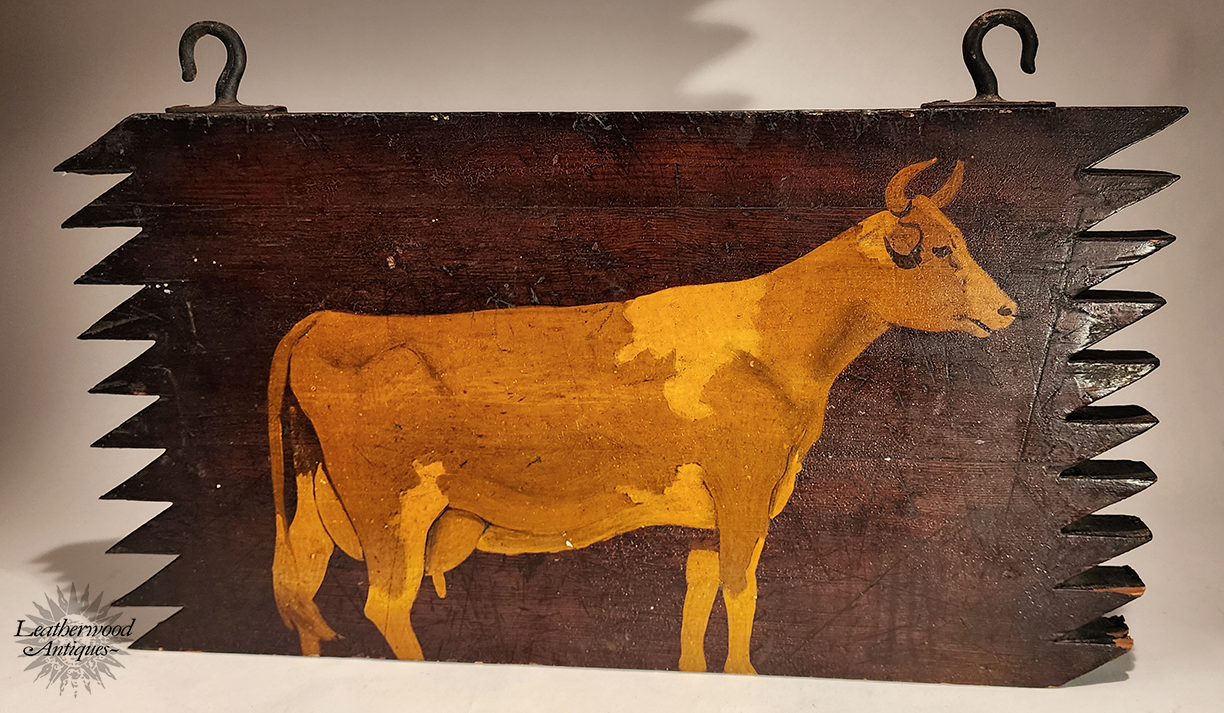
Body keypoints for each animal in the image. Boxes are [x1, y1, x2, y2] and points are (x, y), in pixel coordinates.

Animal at [267, 158, 1016, 674]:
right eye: (943, 250)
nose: (1010, 309)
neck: (779, 344)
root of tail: (327, 319)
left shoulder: (731, 505)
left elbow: (701, 583)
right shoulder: (745, 489)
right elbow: (742, 588)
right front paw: (745, 674)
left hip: (314, 502)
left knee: (303, 589)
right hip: (392, 507)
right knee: (385, 602)